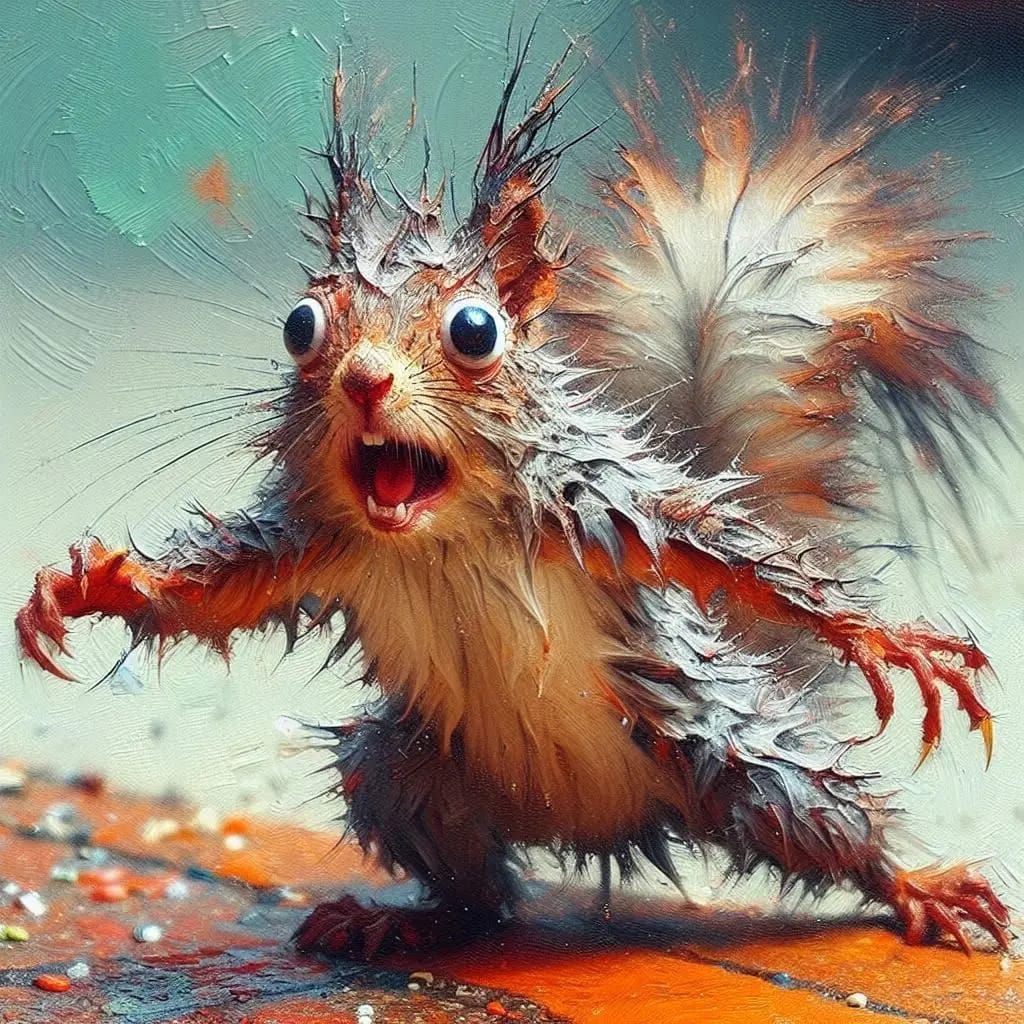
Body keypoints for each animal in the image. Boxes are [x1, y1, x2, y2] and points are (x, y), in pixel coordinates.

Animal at [16, 34, 1013, 957]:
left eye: (474, 330)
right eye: (301, 327)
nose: (365, 382)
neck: (438, 531)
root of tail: (592, 831)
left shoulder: (592, 503)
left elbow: (721, 550)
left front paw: (885, 639)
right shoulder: (312, 540)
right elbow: (211, 593)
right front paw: (92, 586)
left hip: (734, 757)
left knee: (831, 819)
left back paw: (918, 885)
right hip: (408, 771)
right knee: (480, 893)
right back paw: (406, 921)